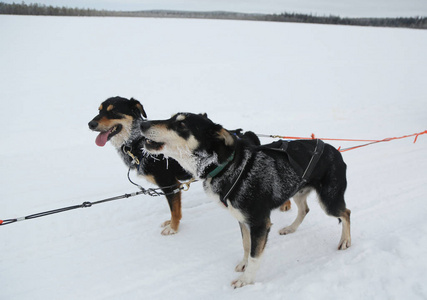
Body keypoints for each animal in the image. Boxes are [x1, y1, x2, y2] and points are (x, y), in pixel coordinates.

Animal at [88, 97, 194, 236]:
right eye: (99, 111)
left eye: (114, 111)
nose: (90, 124)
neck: (138, 142)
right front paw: (171, 223)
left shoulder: (170, 184)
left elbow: (174, 210)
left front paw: (173, 228)